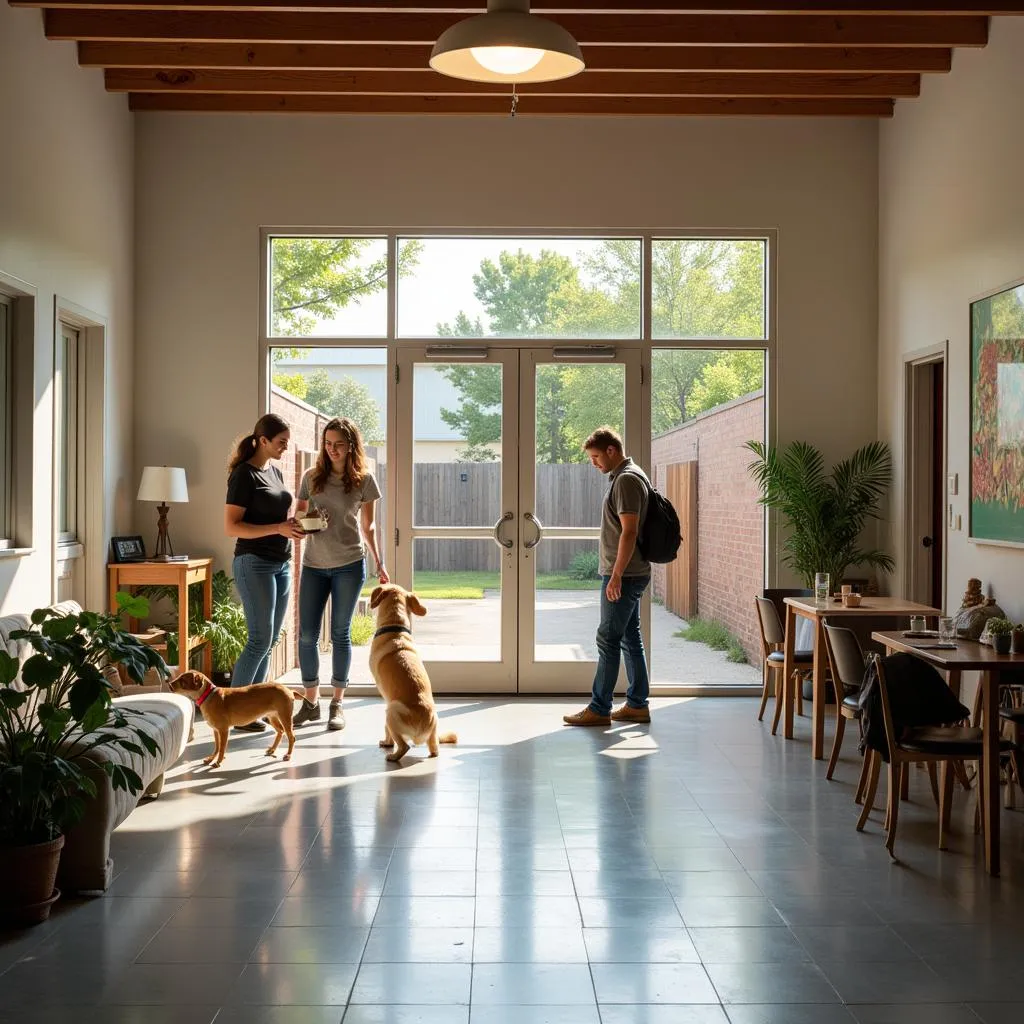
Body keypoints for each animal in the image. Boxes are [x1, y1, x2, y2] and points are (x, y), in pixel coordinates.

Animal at [167, 671, 301, 770]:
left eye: (183, 680)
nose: (168, 684)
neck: (208, 696)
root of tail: (289, 690)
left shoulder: (223, 730)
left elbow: (222, 748)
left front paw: (218, 762)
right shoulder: (215, 730)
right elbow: (216, 747)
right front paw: (211, 758)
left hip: (285, 717)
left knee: (291, 737)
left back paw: (288, 755)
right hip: (272, 716)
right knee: (280, 731)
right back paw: (272, 749)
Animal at [368, 585, 456, 761]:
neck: (395, 627)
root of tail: (424, 726)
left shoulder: (386, 697)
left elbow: (386, 730)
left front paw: (387, 743)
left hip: (391, 711)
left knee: (404, 746)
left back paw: (393, 756)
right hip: (435, 725)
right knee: (435, 750)